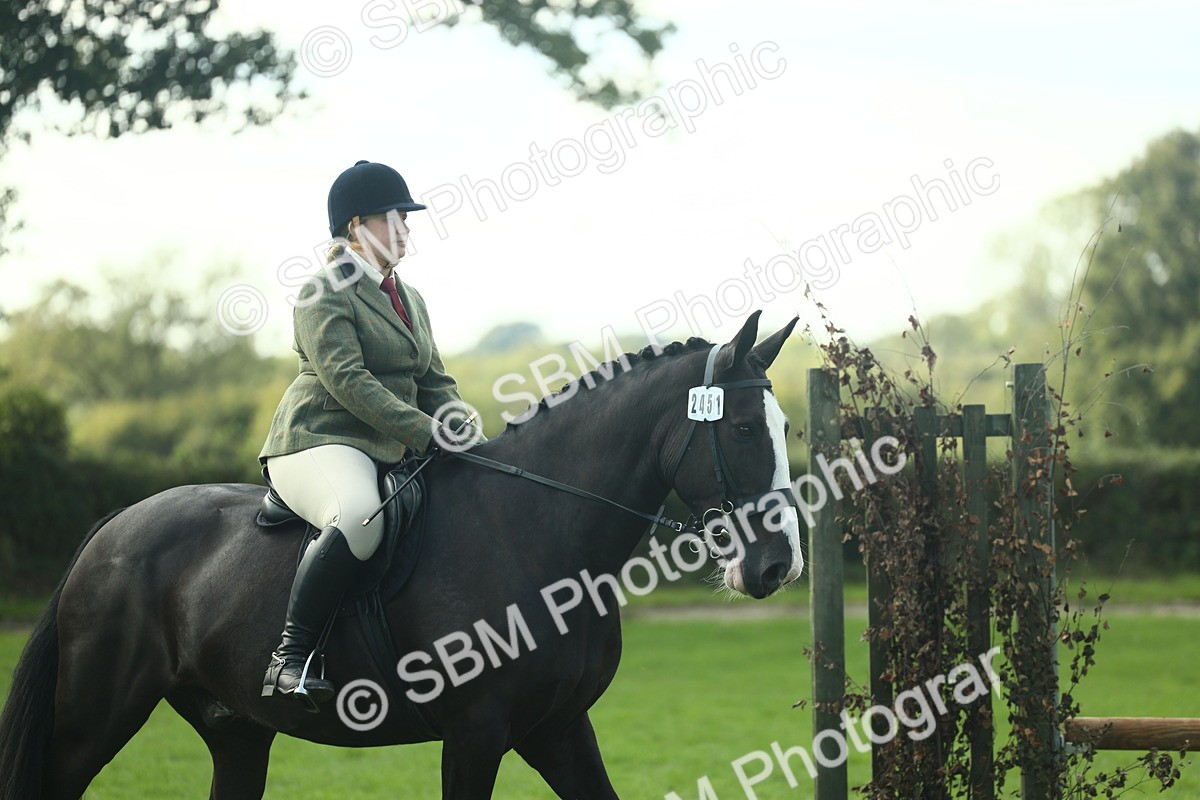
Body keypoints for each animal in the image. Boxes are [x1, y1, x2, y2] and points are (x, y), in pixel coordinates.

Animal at [0, 311, 803, 799]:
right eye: (739, 431)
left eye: (784, 426)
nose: (778, 566)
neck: (535, 534)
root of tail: (114, 525)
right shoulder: (476, 735)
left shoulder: (559, 729)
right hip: (93, 718)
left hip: (236, 731)